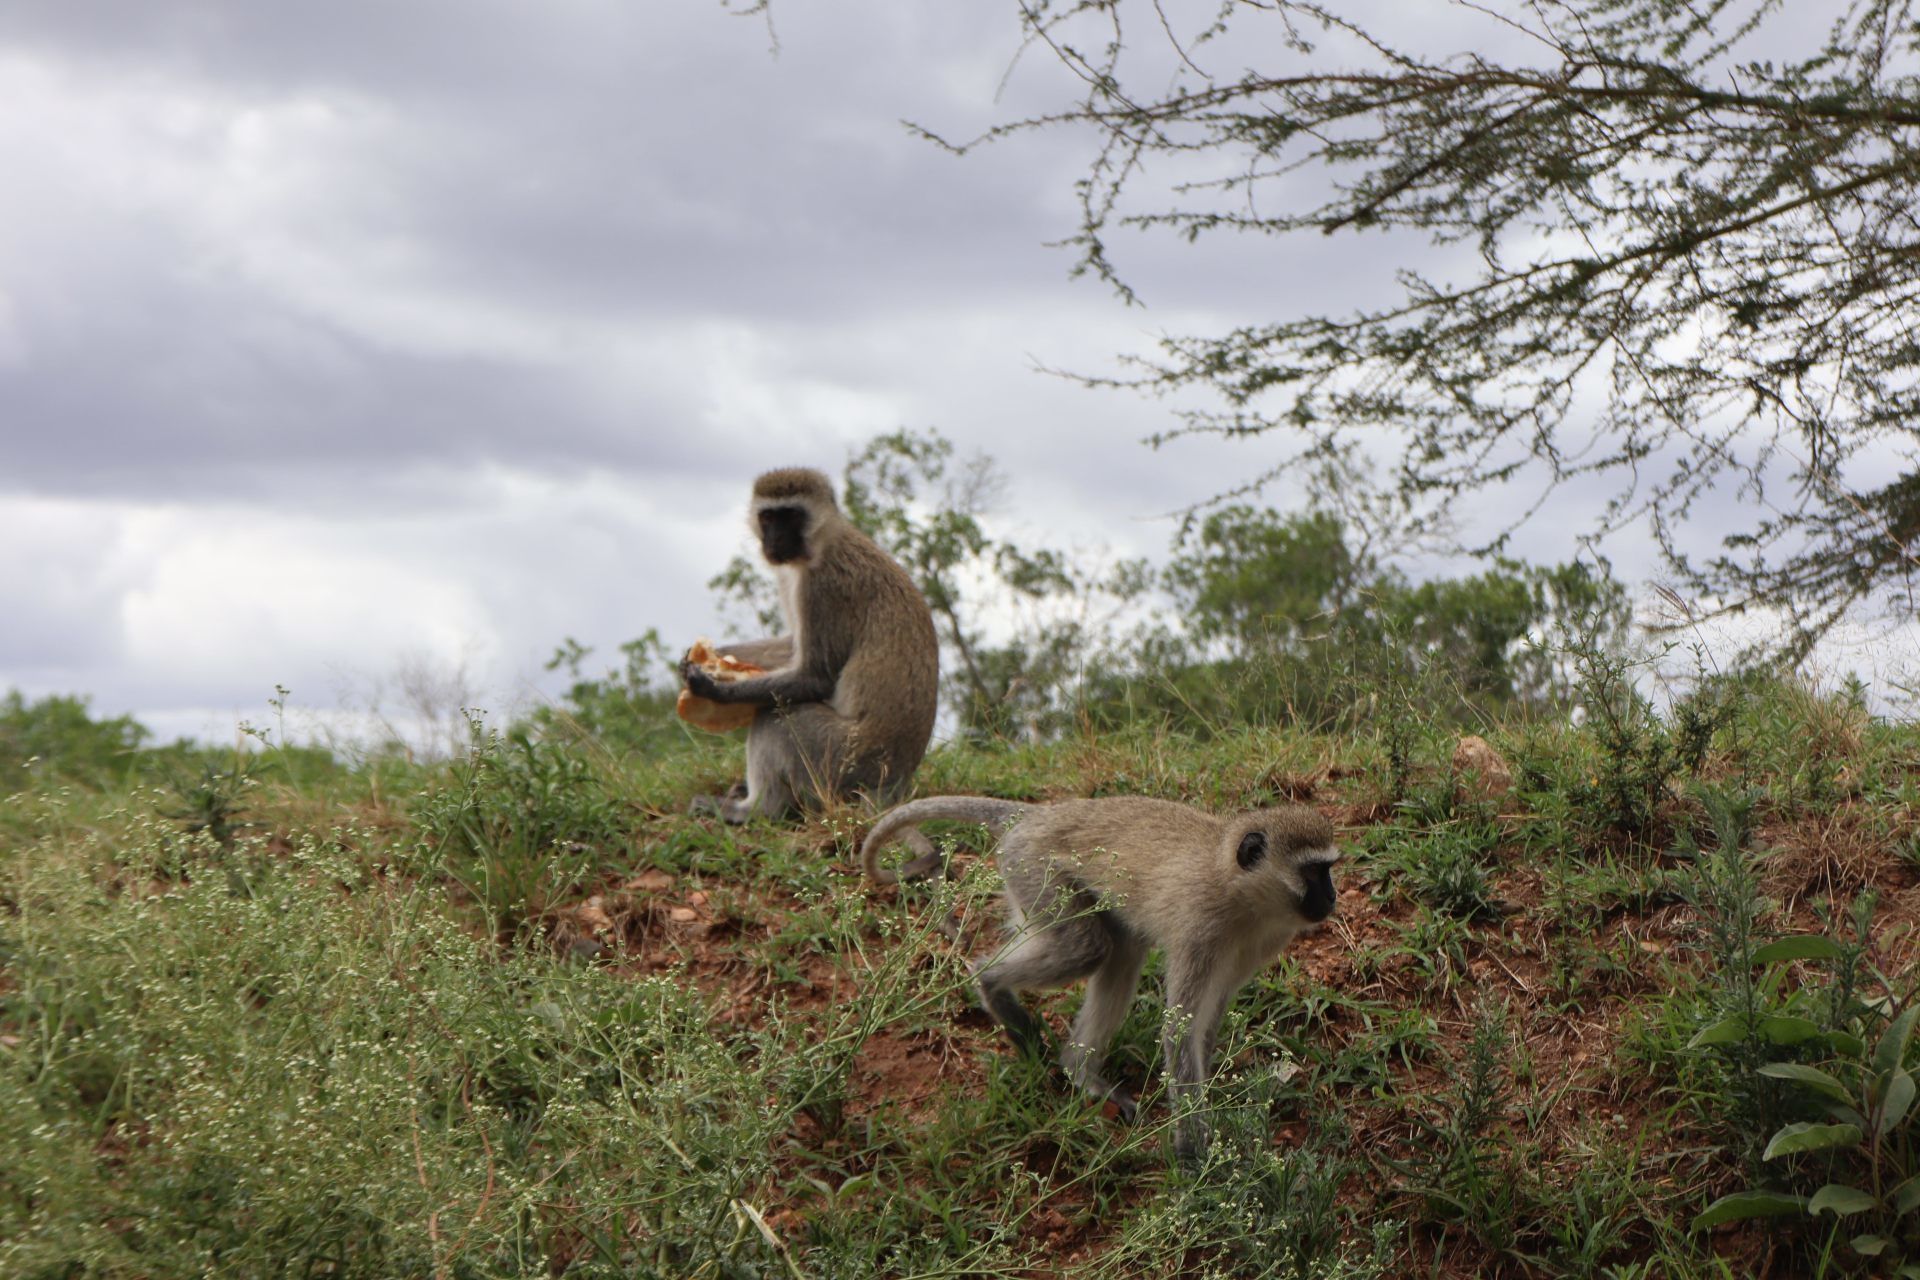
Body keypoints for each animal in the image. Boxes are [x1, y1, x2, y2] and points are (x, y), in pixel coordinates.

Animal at [683, 468, 936, 821]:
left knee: (775, 716)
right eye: (768, 517)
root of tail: (894, 781)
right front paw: (711, 656)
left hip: (838, 762)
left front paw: (714, 687)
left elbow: (814, 676)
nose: (774, 541)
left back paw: (757, 810)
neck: (823, 543)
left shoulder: (823, 586)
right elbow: (792, 647)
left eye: (791, 516)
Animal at [864, 790, 1344, 1159]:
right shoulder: (1200, 925)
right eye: (1313, 872)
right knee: (1086, 950)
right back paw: (990, 983)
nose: (1332, 897)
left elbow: (1204, 1026)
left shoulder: (1263, 942)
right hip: (1036, 871)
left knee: (1121, 952)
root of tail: (1039, 814)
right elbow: (1179, 1032)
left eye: (1328, 870)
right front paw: (1193, 1151)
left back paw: (1079, 1071)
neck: (1237, 889)